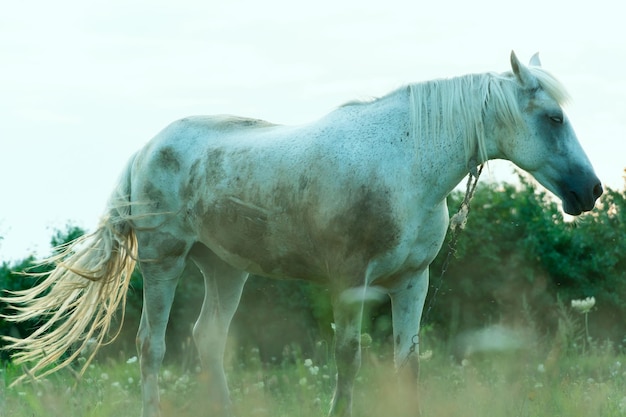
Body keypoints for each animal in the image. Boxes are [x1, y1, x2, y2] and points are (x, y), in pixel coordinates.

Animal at [3, 52, 600, 416]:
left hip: (225, 270)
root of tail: (146, 147)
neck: (406, 164)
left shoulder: (413, 282)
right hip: (163, 262)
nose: (591, 191)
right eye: (552, 118)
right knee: (151, 346)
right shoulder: (350, 283)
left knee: (208, 339)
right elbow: (348, 357)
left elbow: (406, 363)